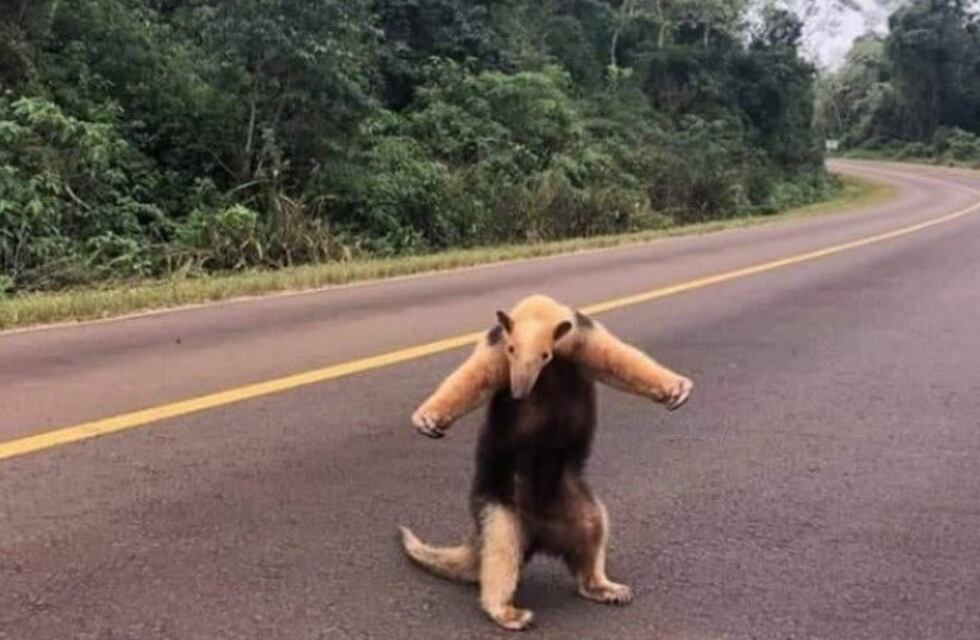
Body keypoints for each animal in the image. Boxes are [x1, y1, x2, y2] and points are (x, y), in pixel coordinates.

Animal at [399, 294, 693, 631]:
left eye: (545, 355)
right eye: (512, 350)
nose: (518, 392)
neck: (538, 312)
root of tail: (540, 534)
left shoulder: (582, 339)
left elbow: (617, 360)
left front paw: (677, 391)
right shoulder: (496, 347)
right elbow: (473, 378)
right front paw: (426, 420)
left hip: (579, 507)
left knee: (593, 532)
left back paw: (607, 588)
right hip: (499, 505)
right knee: (502, 550)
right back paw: (510, 614)